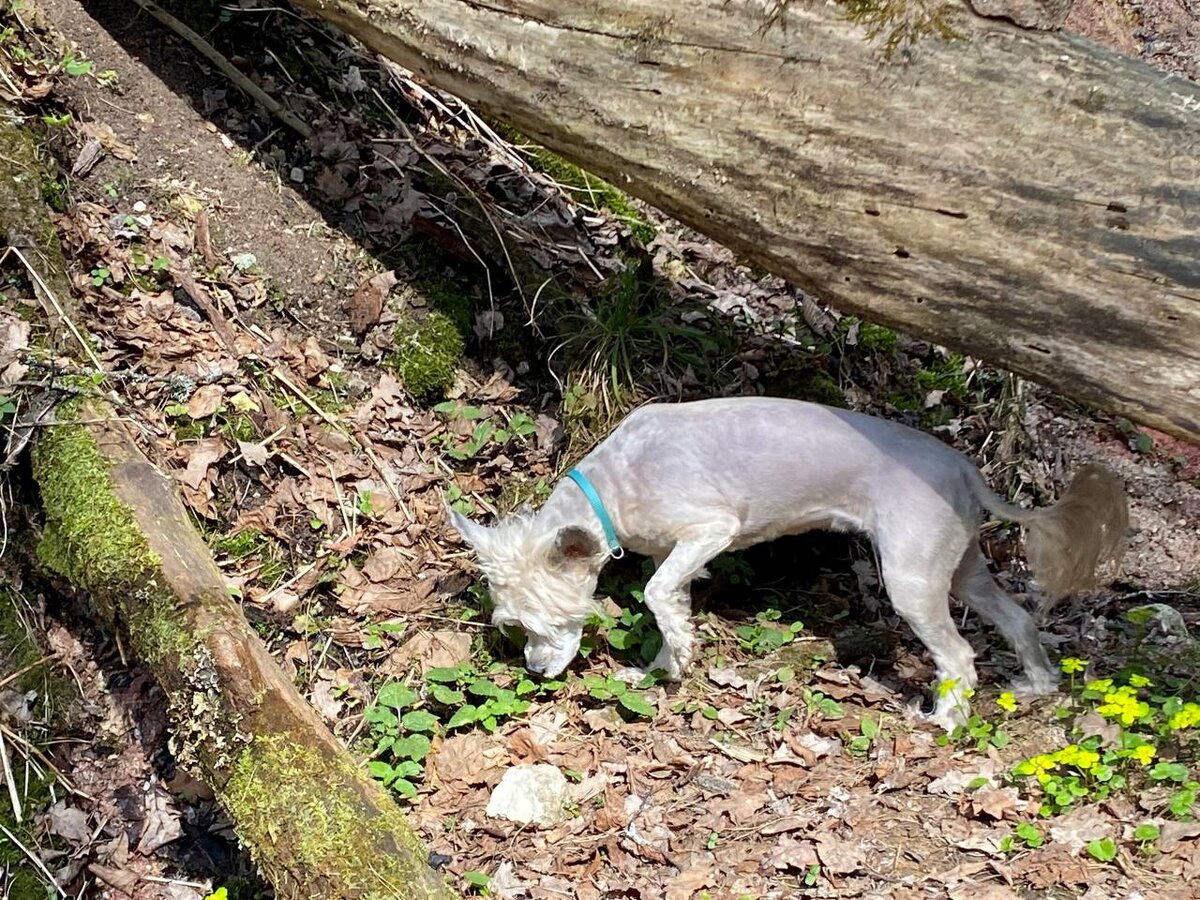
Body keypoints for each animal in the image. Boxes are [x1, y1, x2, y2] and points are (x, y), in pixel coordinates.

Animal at [448, 398, 1123, 729]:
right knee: (1018, 619)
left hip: (911, 578)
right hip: (959, 568)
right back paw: (1037, 684)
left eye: (538, 626)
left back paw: (947, 721)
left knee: (959, 654)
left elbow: (659, 595)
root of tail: (966, 469)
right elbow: (671, 608)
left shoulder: (709, 531)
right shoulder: (681, 554)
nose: (534, 671)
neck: (612, 484)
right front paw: (664, 668)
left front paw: (674, 663)